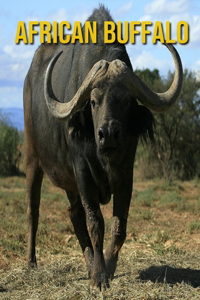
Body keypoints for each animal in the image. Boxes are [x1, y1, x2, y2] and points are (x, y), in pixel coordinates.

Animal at [23, 5, 183, 290]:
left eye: (125, 100)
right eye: (95, 101)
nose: (107, 135)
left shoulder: (126, 174)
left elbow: (119, 225)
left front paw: (108, 265)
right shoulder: (83, 172)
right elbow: (95, 222)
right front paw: (99, 276)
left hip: (69, 183)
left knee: (73, 213)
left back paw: (87, 263)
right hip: (33, 159)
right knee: (34, 209)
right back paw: (31, 263)